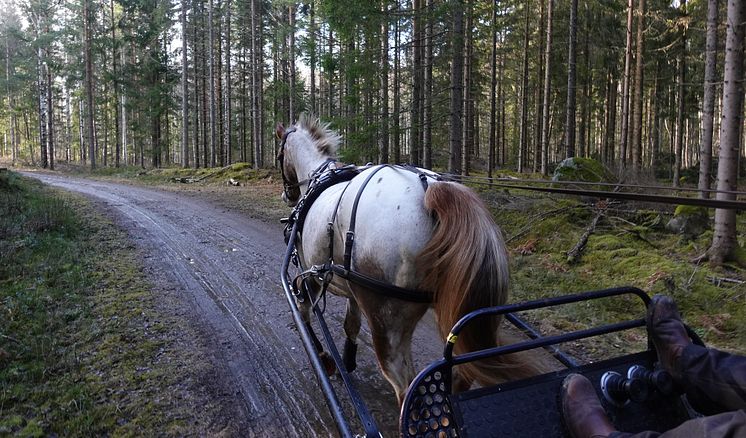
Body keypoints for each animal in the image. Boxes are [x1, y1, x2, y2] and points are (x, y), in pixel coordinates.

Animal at [276, 114, 544, 406]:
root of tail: (432, 189)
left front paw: (326, 359)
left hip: (386, 316)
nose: (287, 194)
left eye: (278, 154)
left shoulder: (310, 273)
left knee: (405, 384)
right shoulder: (350, 285)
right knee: (462, 372)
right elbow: (351, 324)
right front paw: (348, 359)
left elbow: (304, 312)